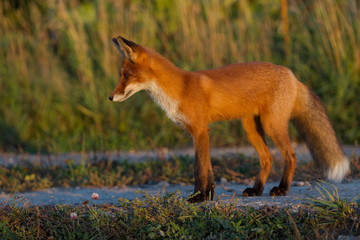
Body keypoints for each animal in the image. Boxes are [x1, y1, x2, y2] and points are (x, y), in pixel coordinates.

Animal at [109, 36, 348, 202]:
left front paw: (198, 197)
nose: (110, 97)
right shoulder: (199, 133)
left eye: (126, 76)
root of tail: (291, 74)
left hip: (272, 125)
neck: (180, 89)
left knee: (291, 155)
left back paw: (282, 189)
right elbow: (208, 169)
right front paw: (208, 196)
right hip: (250, 128)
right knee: (267, 158)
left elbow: (199, 169)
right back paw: (256, 190)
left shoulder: (200, 131)